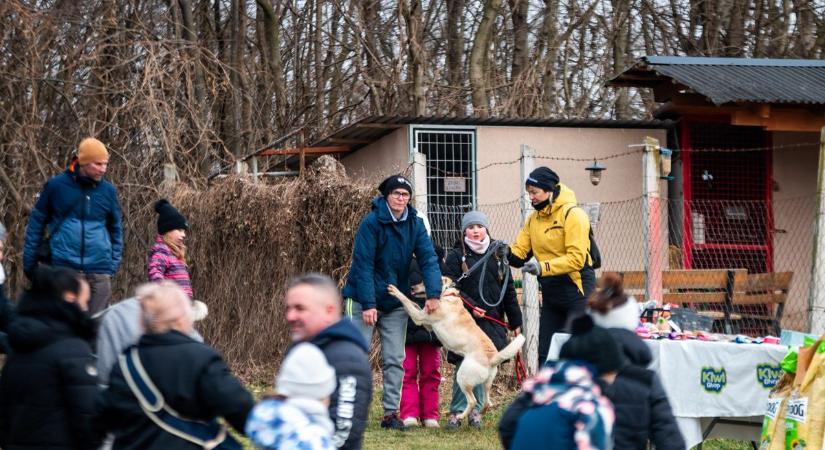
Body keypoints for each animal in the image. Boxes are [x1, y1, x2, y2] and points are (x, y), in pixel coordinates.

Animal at [390, 280, 524, 420]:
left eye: (424, 282)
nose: (412, 287)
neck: (446, 294)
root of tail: (492, 358)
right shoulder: (426, 323)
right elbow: (413, 304)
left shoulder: (420, 317)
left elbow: (406, 301)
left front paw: (395, 291)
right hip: (487, 383)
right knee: (487, 402)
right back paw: (479, 413)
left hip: (463, 378)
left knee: (472, 401)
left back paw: (461, 416)